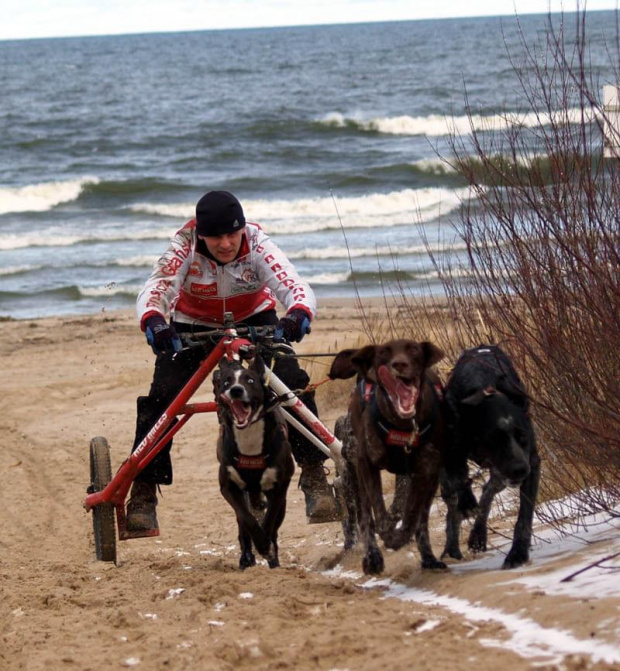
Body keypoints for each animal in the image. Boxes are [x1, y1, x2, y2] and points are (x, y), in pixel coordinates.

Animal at [217, 354, 294, 568]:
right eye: (226, 382)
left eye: (250, 381)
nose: (236, 390)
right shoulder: (229, 487)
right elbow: (247, 519)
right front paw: (259, 545)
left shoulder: (280, 486)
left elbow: (269, 519)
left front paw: (266, 547)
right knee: (243, 525)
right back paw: (246, 557)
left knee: (275, 525)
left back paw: (273, 558)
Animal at [332, 342, 448, 576]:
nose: (350, 441)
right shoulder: (360, 471)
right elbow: (368, 515)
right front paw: (374, 552)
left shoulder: (423, 471)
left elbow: (409, 511)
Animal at [444, 344, 540, 568]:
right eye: (495, 440)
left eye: (523, 436)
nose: (520, 470)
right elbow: (457, 478)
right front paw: (466, 501)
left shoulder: (532, 463)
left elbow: (524, 517)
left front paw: (518, 553)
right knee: (452, 502)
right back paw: (452, 544)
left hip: (502, 474)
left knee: (488, 491)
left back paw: (478, 535)